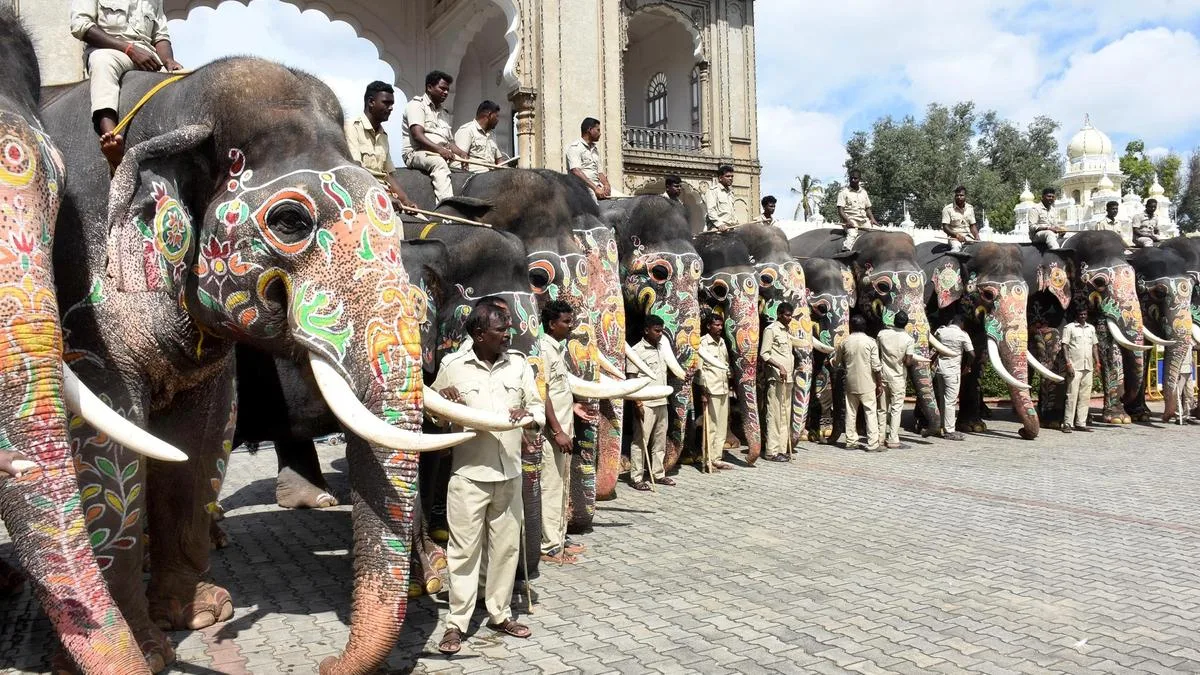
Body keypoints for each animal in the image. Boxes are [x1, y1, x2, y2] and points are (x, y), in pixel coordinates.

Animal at [42, 58, 497, 674]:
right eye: (288, 222)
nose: (325, 665)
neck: (180, 104)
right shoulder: (87, 308)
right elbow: (110, 442)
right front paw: (149, 651)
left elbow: (200, 437)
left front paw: (202, 615)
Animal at [917, 241, 1046, 440]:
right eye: (987, 294)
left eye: (1026, 294)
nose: (1022, 431)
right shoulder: (936, 307)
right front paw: (927, 426)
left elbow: (976, 357)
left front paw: (973, 427)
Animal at [1022, 231, 1150, 426]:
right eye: (1099, 282)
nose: (1125, 398)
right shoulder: (1050, 300)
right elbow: (1055, 338)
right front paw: (1055, 421)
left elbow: (1106, 343)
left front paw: (1118, 419)